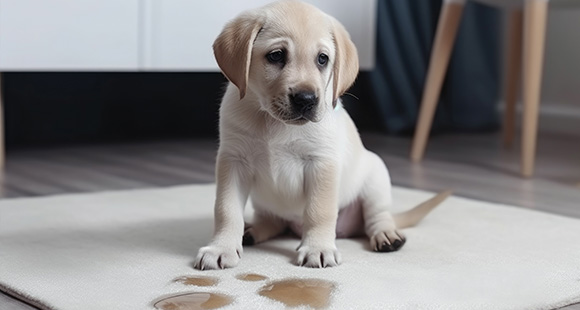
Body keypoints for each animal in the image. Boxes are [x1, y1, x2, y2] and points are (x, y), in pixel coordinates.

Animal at [195, 1, 448, 270]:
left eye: (322, 59)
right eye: (276, 55)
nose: (306, 99)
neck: (274, 123)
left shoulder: (321, 163)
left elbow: (319, 211)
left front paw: (318, 248)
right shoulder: (233, 161)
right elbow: (226, 209)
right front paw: (221, 248)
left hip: (376, 178)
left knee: (378, 217)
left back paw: (387, 235)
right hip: (264, 202)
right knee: (274, 222)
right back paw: (252, 231)